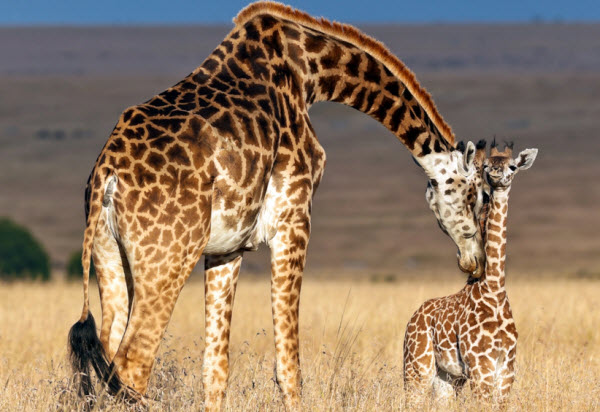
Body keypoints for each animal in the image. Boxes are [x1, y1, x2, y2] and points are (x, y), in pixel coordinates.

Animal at [69, 2, 488, 408]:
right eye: (480, 195)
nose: (476, 262)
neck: (311, 72)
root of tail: (107, 171)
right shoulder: (294, 218)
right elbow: (289, 367)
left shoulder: (226, 248)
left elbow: (216, 369)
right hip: (166, 259)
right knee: (133, 364)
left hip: (111, 256)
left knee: (110, 352)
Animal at [404, 142, 540, 402]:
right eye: (486, 165)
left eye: (512, 166)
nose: (496, 174)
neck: (494, 289)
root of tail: (413, 316)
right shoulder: (480, 366)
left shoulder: (506, 369)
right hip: (417, 365)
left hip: (448, 377)